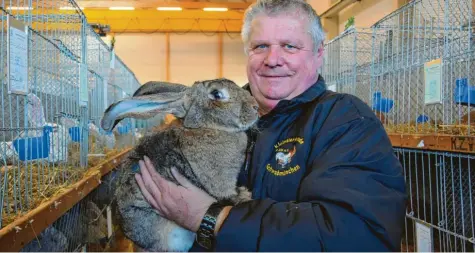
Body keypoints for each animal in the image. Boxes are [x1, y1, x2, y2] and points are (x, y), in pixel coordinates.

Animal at [100, 78, 260, 252]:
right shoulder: (219, 183)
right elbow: (227, 194)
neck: (207, 127)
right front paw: (245, 195)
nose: (256, 107)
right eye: (217, 94)